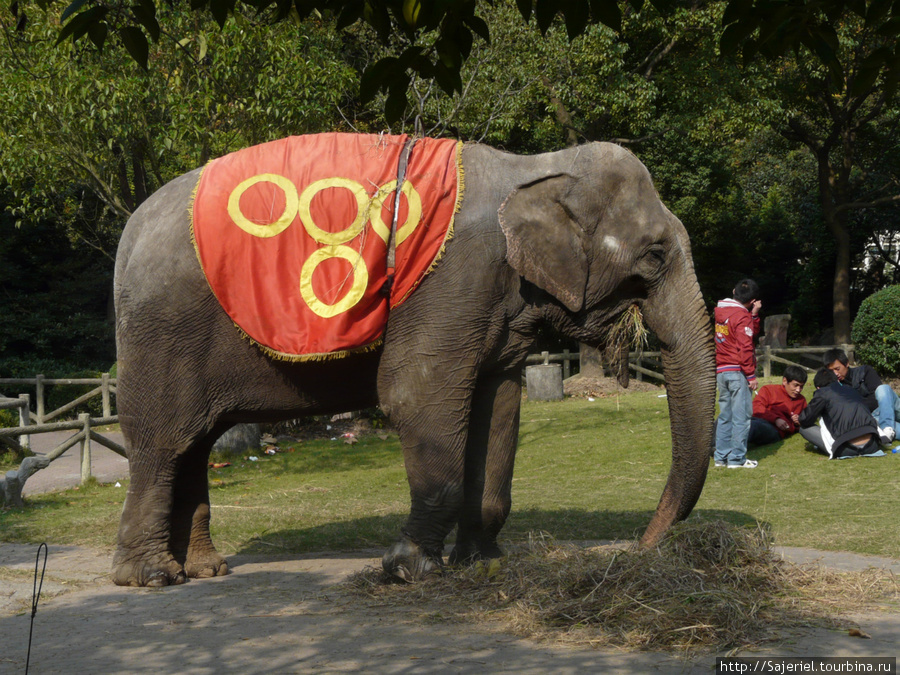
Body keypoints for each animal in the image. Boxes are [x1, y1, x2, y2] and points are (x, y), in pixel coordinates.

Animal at [110, 136, 716, 588]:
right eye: (655, 254)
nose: (641, 547)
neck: (532, 167)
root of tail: (129, 233)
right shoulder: (450, 282)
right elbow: (415, 395)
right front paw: (410, 570)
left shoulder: (492, 304)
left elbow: (499, 407)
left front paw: (484, 563)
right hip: (162, 332)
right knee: (163, 442)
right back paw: (150, 577)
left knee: (195, 443)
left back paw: (204, 570)